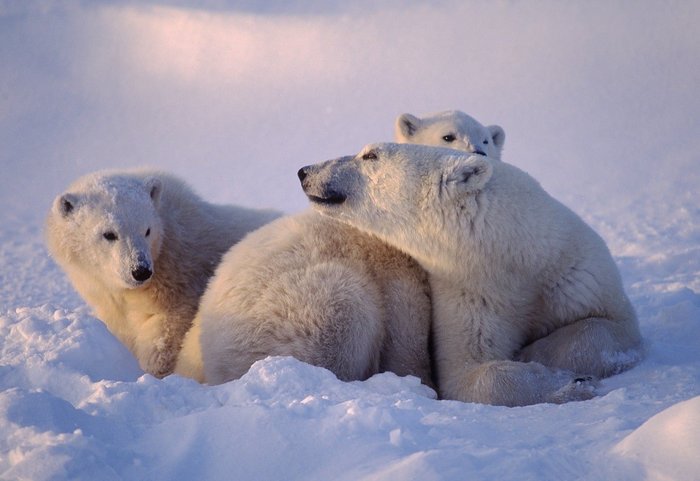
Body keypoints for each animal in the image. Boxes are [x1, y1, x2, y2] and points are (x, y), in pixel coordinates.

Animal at [44, 171, 282, 376]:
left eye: (147, 230)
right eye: (109, 234)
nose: (140, 270)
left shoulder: (181, 285)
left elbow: (164, 335)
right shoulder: (110, 298)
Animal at [298, 142, 644, 404]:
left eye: (370, 154)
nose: (305, 171)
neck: (511, 253)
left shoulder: (573, 271)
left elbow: (609, 325)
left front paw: (539, 355)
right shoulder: (471, 291)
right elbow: (467, 370)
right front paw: (563, 382)